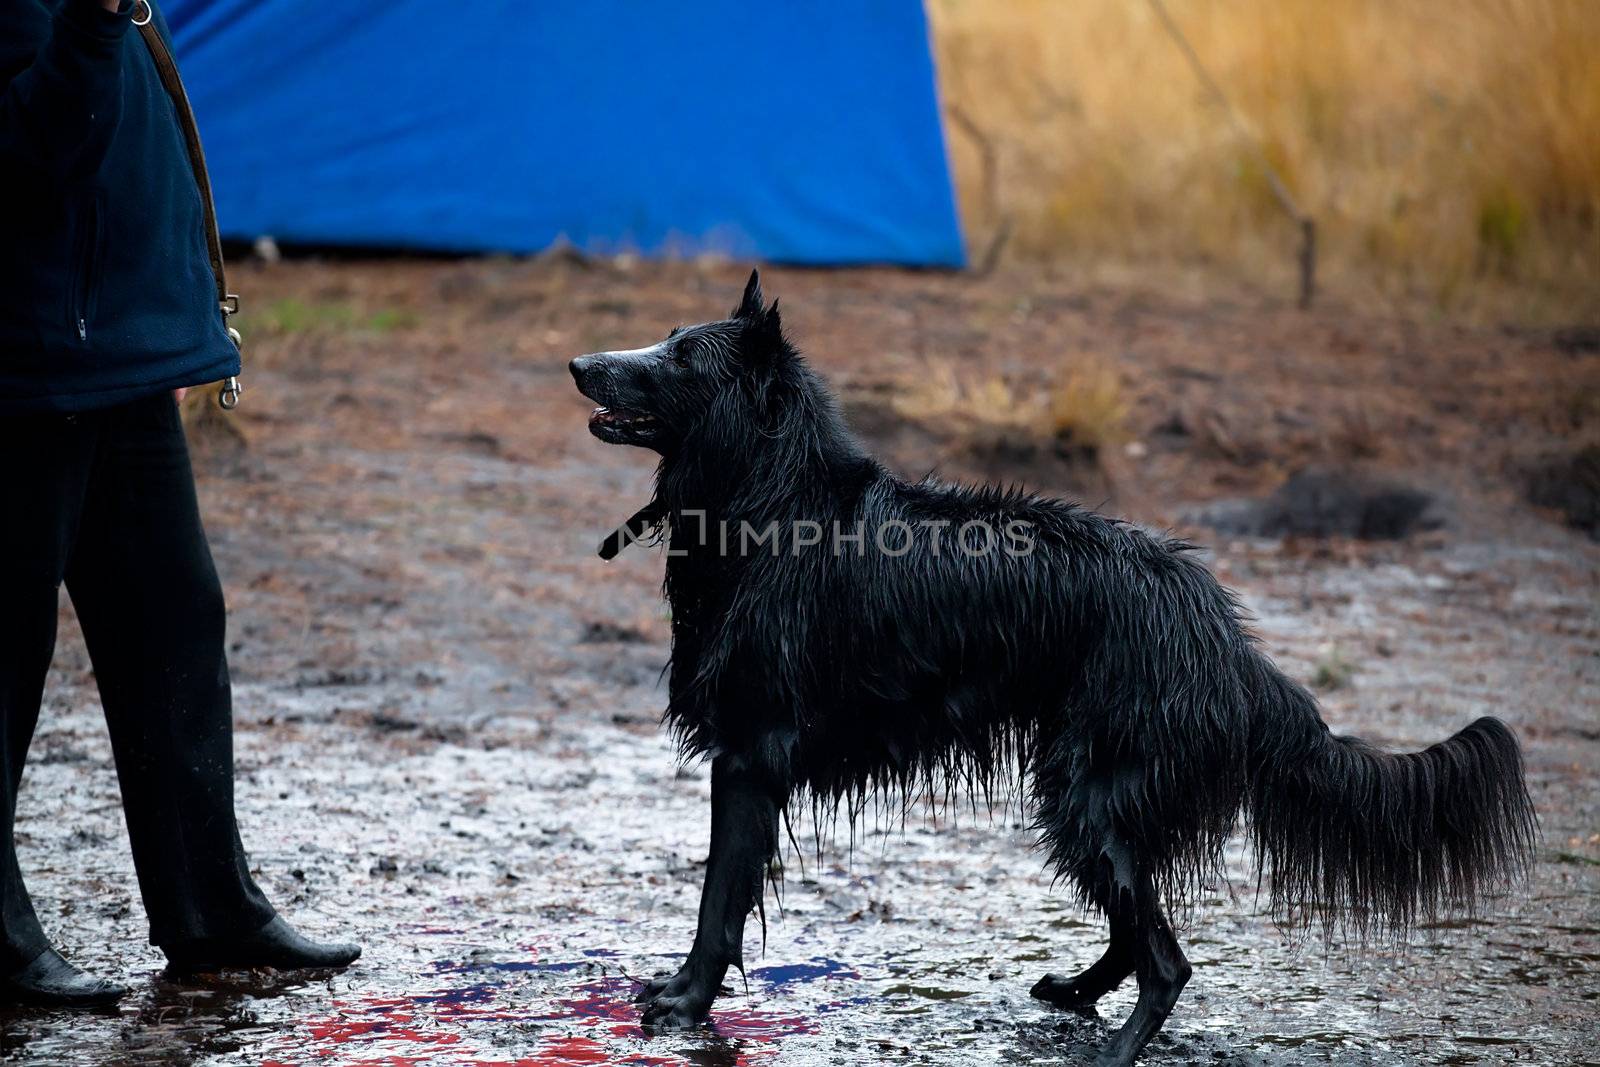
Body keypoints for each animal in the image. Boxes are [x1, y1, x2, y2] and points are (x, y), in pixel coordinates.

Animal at [572, 271, 1536, 1062]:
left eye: (680, 356)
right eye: (664, 338)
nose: (579, 361)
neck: (771, 503)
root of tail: (1224, 637)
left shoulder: (749, 755)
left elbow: (717, 901)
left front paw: (685, 1004)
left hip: (1091, 790)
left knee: (1168, 960)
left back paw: (1110, 1053)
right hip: (1092, 793)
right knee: (1141, 930)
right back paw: (1073, 991)